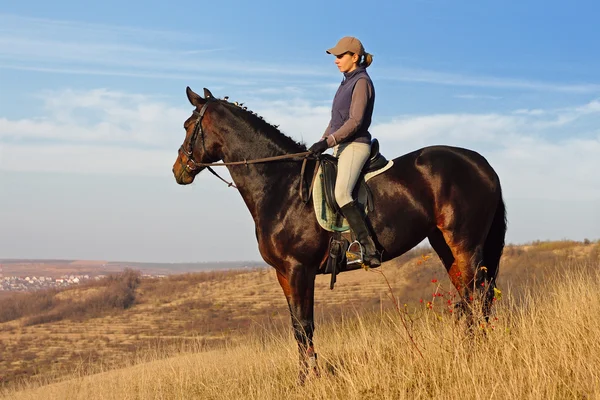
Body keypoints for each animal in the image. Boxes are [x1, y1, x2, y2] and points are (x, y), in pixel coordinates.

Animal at [172, 87, 506, 382]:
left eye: (188, 126)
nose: (178, 170)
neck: (282, 185)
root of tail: (481, 163)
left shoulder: (298, 269)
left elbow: (304, 326)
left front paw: (310, 379)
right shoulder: (284, 273)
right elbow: (297, 327)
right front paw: (304, 377)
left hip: (465, 244)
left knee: (478, 296)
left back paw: (475, 354)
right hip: (445, 245)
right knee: (469, 296)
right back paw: (466, 351)